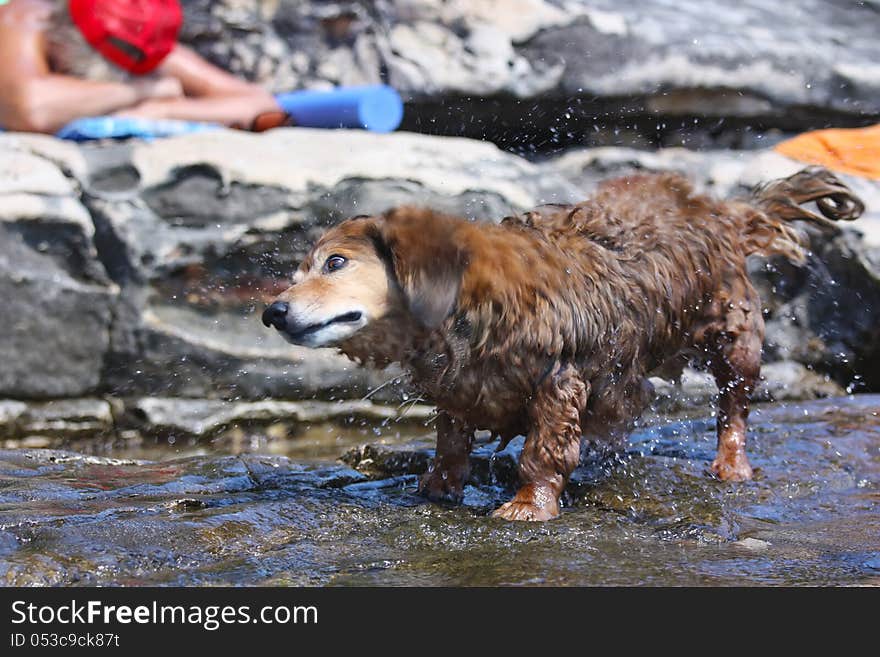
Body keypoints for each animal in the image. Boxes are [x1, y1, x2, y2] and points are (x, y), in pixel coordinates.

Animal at [264, 167, 864, 520]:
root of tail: (719, 212)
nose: (273, 312)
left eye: (335, 263)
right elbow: (452, 440)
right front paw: (437, 485)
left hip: (733, 337)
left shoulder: (560, 379)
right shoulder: (459, 383)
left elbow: (543, 452)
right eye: (297, 273)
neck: (470, 304)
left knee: (734, 407)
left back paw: (731, 464)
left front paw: (529, 506)